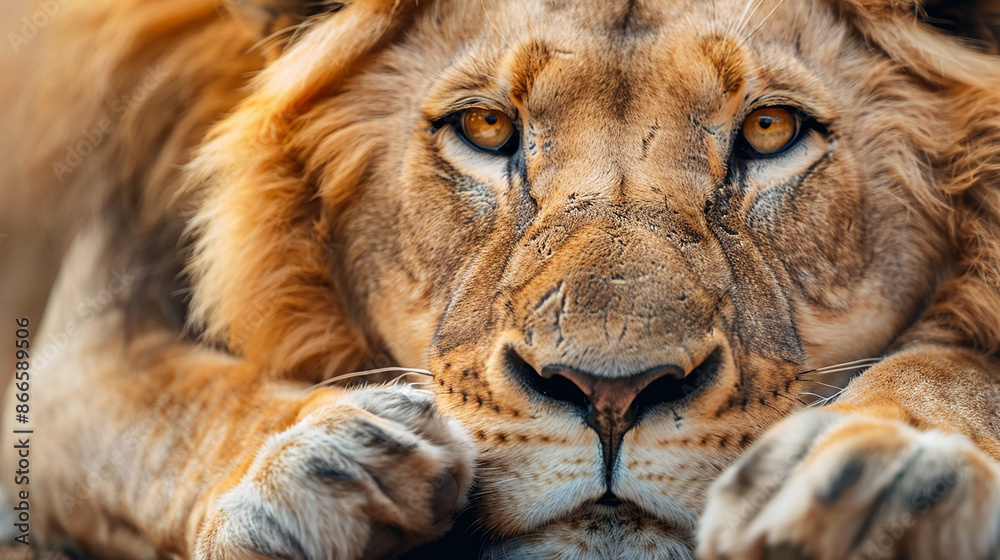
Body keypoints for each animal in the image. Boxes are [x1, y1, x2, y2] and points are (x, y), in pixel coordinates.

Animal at [1, 0, 1000, 558]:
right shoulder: (80, 335)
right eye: (485, 128)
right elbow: (176, 409)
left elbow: (958, 369)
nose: (609, 394)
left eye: (768, 130)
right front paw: (319, 465)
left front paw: (887, 471)